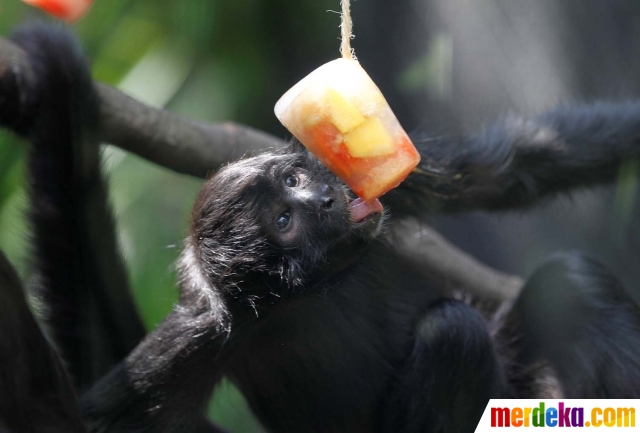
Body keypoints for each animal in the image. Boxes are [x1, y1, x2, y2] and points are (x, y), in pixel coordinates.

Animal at [3, 24, 640, 432]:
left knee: (574, 284)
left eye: (293, 179)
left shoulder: (370, 183)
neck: (319, 287)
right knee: (454, 332)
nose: (326, 196)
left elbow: (518, 167)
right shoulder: (198, 335)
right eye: (285, 219)